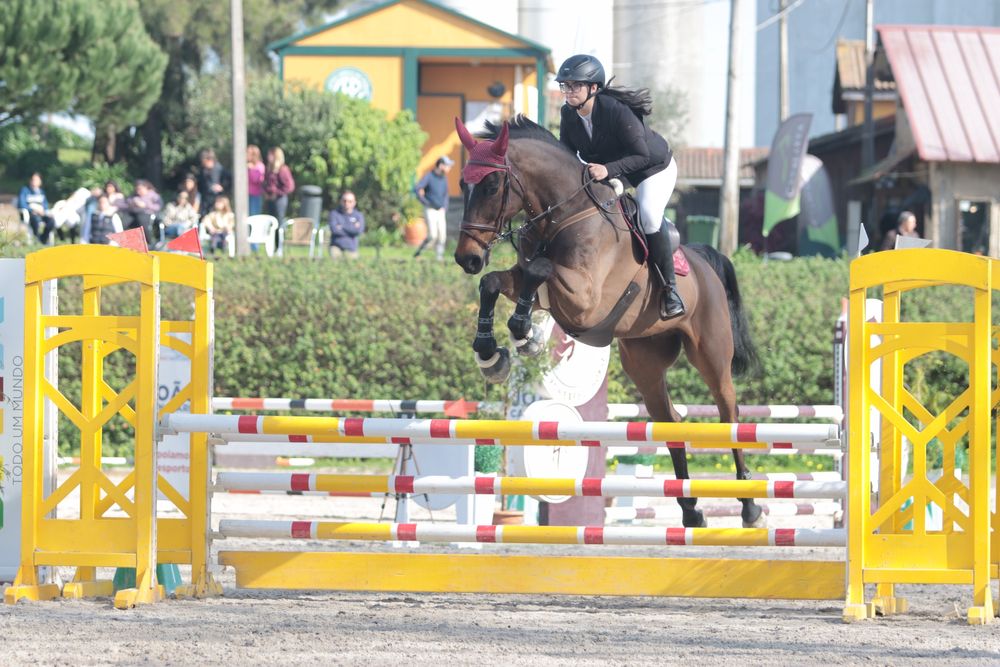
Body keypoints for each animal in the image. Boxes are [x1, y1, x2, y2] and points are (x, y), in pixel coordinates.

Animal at [453, 115, 763, 529]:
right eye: (462, 184)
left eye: (490, 185)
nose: (467, 258)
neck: (563, 213)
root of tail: (702, 261)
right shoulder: (540, 287)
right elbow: (496, 282)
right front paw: (492, 353)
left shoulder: (584, 300)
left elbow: (539, 269)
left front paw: (524, 335)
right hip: (644, 364)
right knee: (671, 419)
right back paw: (691, 509)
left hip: (711, 355)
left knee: (730, 414)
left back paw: (750, 506)